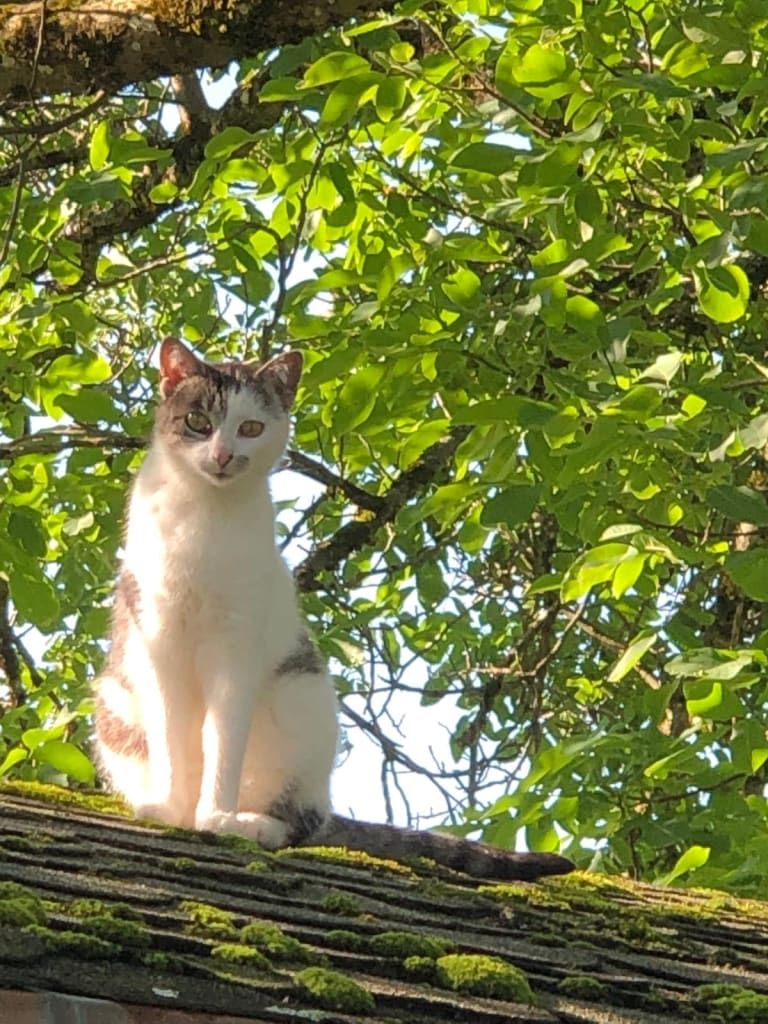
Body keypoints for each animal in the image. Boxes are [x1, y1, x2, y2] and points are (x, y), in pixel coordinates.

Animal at [94, 337, 573, 881]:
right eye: (198, 420)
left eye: (251, 428)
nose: (222, 455)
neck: (204, 517)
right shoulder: (159, 639)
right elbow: (172, 737)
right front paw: (172, 809)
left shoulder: (237, 645)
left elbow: (223, 742)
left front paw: (214, 817)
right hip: (115, 698)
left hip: (300, 693)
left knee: (302, 821)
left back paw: (253, 825)